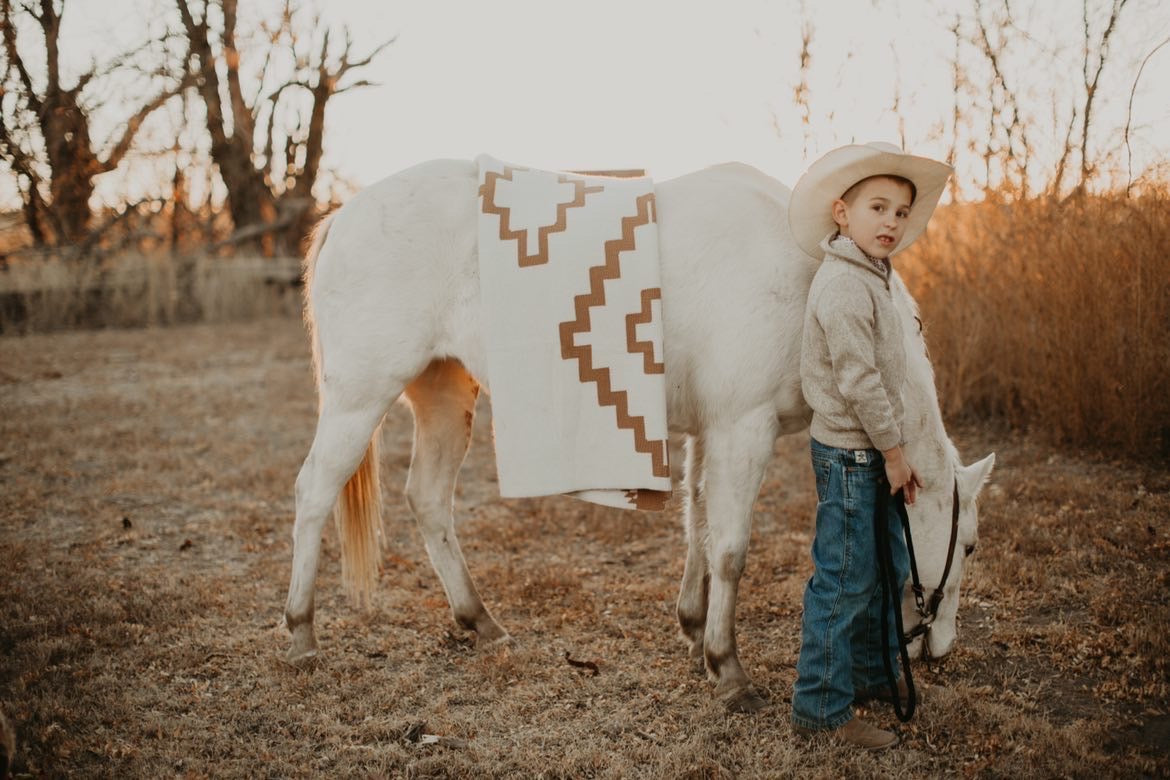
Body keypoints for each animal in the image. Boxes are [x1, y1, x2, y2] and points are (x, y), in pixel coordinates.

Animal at [280, 159, 987, 715]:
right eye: (970, 546)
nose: (941, 650)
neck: (809, 272)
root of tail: (346, 214)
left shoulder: (711, 432)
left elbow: (697, 526)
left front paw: (696, 628)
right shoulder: (743, 429)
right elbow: (730, 547)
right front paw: (729, 669)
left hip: (445, 397)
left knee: (428, 501)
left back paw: (479, 621)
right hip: (359, 398)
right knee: (314, 494)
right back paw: (302, 634)